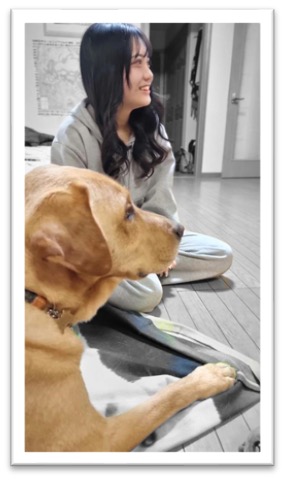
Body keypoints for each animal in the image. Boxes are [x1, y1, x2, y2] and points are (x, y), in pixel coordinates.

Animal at [24, 164, 236, 450]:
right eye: (127, 212)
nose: (180, 227)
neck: (37, 296)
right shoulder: (97, 440)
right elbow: (164, 398)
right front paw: (208, 376)